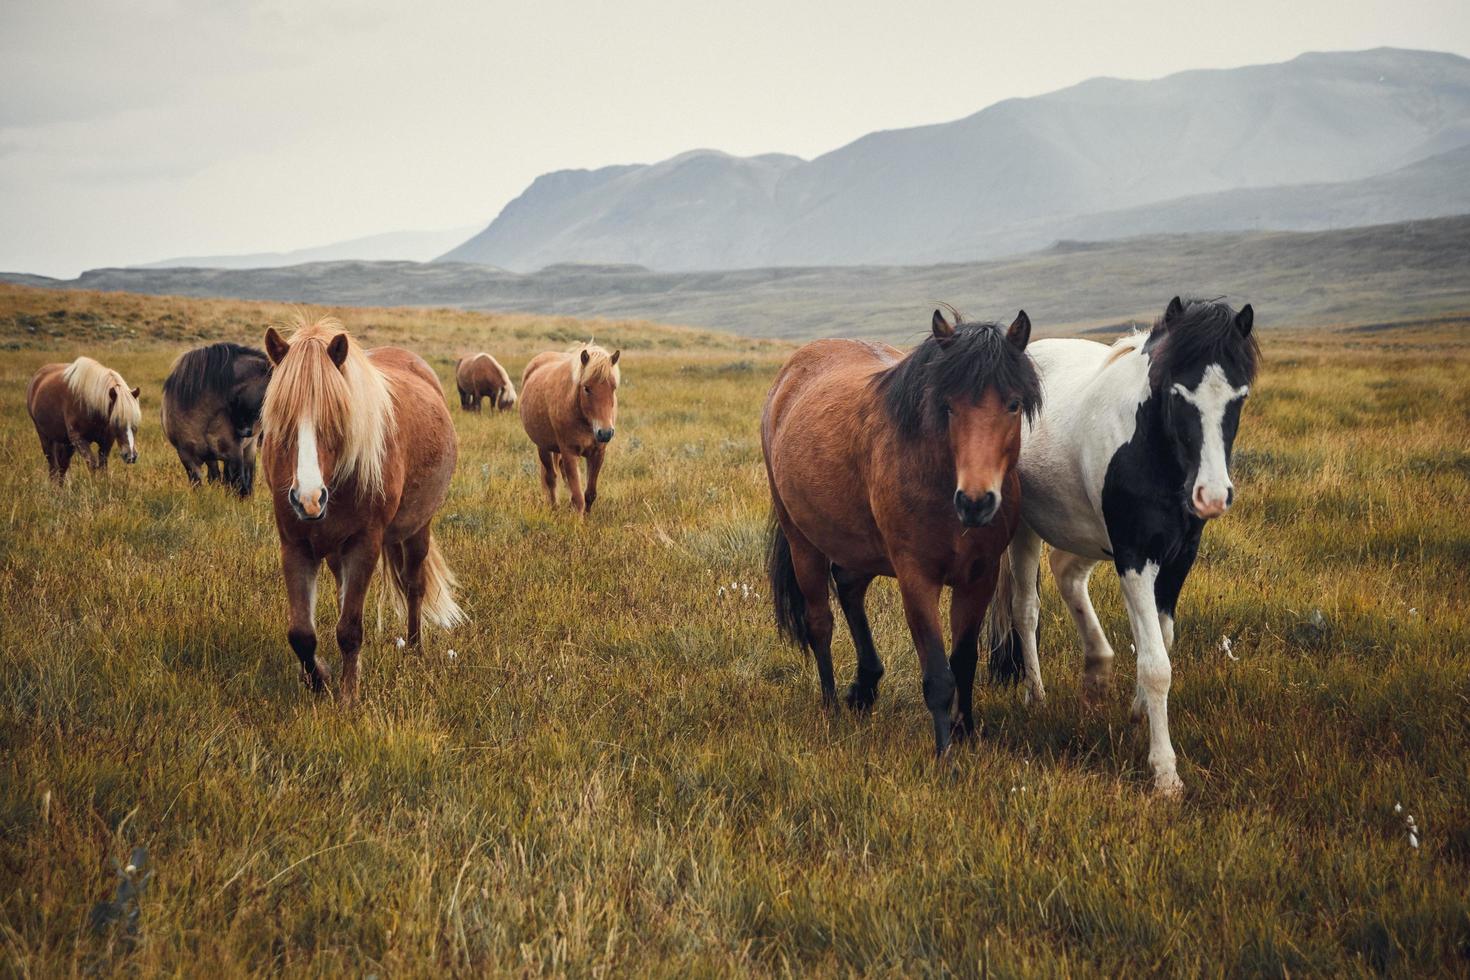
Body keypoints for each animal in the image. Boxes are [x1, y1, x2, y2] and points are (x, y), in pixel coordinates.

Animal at [162, 345, 271, 499]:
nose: (244, 430)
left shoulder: (234, 453)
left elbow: (239, 485)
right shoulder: (187, 457)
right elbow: (199, 485)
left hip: (248, 448)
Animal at [261, 314, 461, 696]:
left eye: (335, 418)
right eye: (283, 419)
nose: (308, 499)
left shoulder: (365, 543)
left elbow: (350, 630)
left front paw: (348, 697)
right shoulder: (294, 544)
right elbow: (301, 634)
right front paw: (319, 680)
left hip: (417, 529)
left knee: (414, 585)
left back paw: (415, 648)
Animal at [517, 343, 620, 517]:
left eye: (613, 387)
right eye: (586, 388)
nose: (605, 432)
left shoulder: (598, 453)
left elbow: (589, 494)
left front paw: (587, 516)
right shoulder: (569, 452)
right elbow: (578, 496)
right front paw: (577, 520)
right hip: (543, 447)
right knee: (551, 477)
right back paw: (554, 507)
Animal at [764, 310, 1040, 758]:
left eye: (1013, 404)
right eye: (947, 406)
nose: (976, 502)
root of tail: (788, 376)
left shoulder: (980, 577)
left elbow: (964, 660)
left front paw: (966, 731)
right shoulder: (917, 580)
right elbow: (939, 675)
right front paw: (945, 754)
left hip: (858, 545)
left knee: (849, 587)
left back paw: (864, 687)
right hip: (802, 540)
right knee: (820, 621)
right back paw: (831, 706)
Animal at [981, 295, 1258, 793]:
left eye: (1239, 396)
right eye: (1176, 393)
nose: (1211, 496)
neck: (1150, 448)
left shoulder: (1178, 558)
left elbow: (1161, 640)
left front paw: (1137, 712)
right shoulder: (1134, 555)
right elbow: (1156, 665)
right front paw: (1165, 774)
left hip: (1086, 533)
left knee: (1068, 575)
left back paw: (1097, 668)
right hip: (1025, 530)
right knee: (1025, 609)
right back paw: (1037, 696)